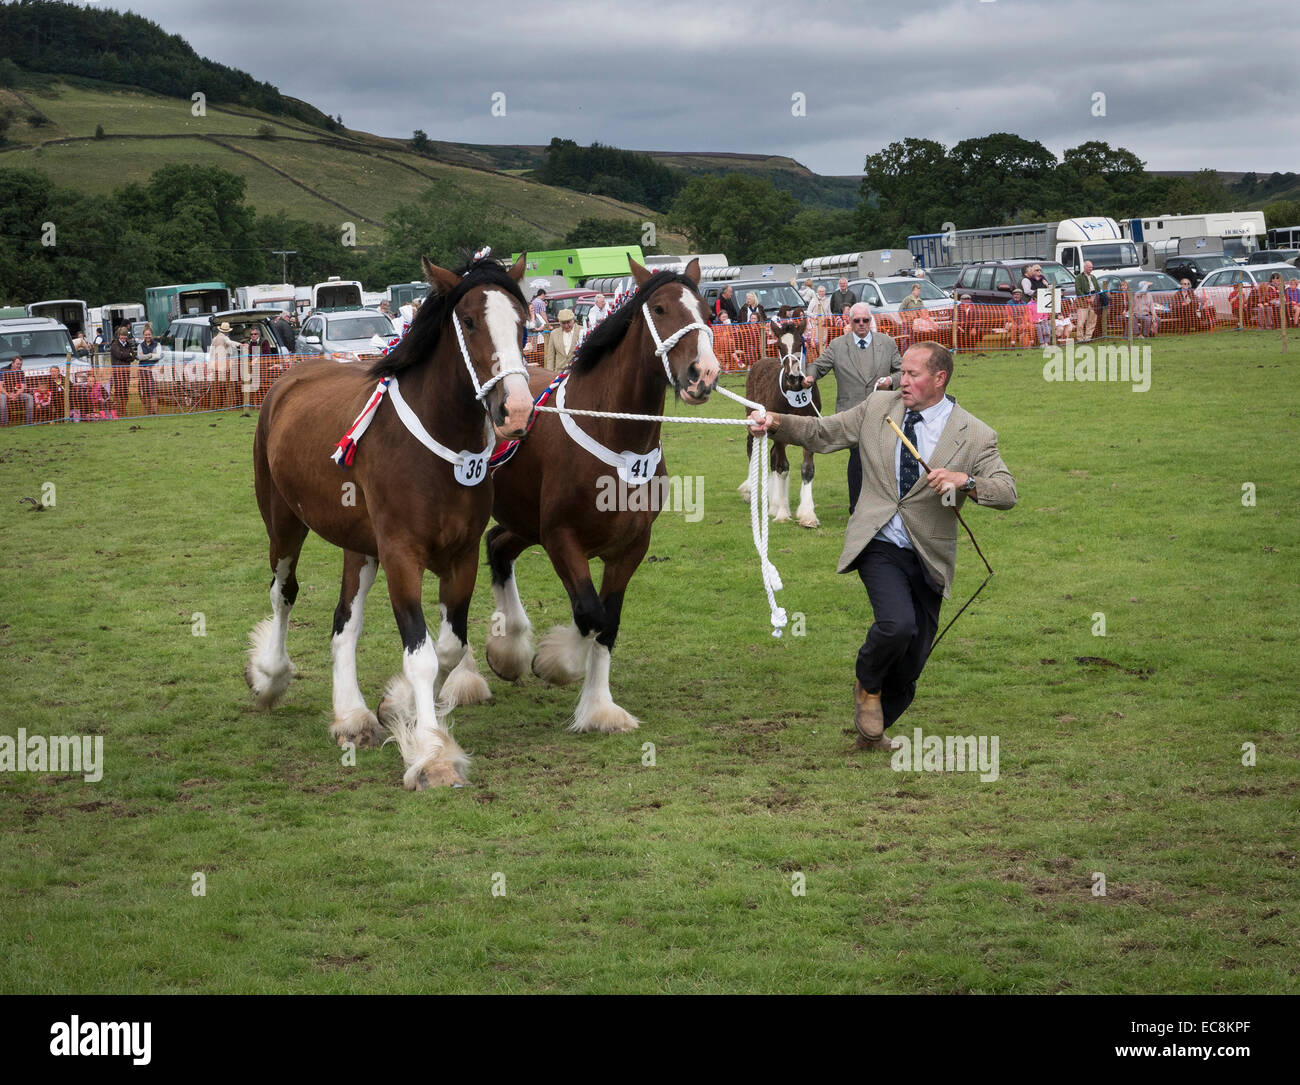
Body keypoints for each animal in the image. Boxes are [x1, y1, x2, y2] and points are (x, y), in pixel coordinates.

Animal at [248, 258, 533, 795]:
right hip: (284, 524)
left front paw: (398, 708)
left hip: (360, 548)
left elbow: (448, 649)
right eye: (468, 322)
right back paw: (270, 677)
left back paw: (351, 716)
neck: (440, 452)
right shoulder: (403, 556)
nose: (517, 410)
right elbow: (420, 656)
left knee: (345, 622)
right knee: (283, 593)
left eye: (523, 322)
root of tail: (291, 378)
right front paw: (432, 757)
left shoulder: (460, 557)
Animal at [738, 320, 816, 527]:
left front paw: (807, 514)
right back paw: (750, 489)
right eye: (780, 346)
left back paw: (772, 503)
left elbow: (807, 469)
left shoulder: (810, 431)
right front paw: (781, 512)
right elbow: (782, 468)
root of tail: (761, 360)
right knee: (751, 448)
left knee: (772, 456)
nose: (793, 377)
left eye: (800, 343)